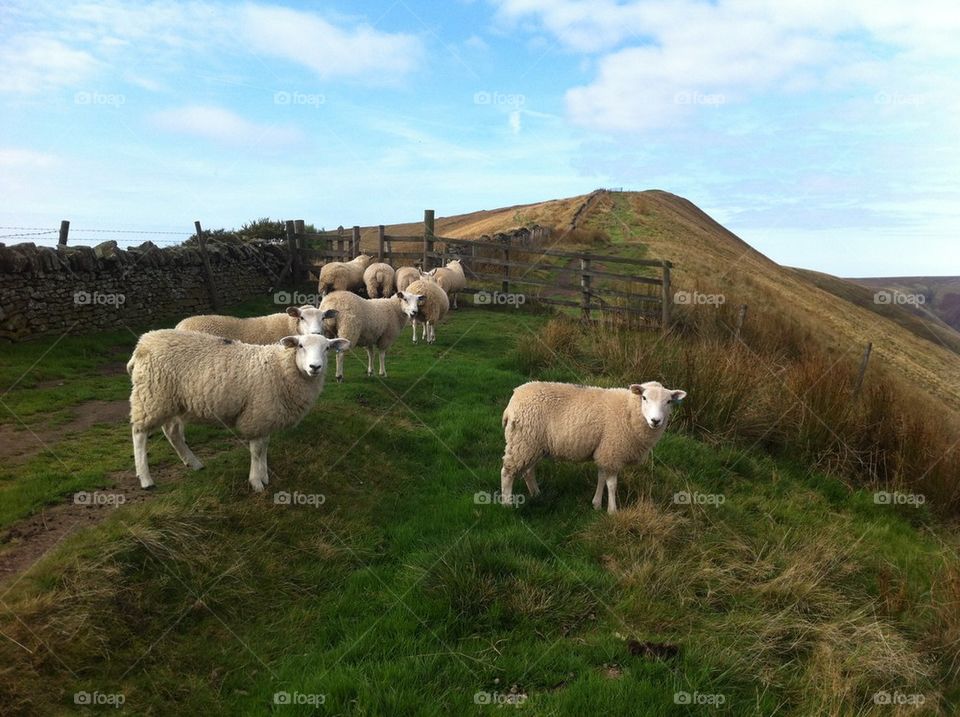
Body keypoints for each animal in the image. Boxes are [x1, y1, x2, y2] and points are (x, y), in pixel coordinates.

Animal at [128, 330, 349, 491]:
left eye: (327, 348)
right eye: (301, 346)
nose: (315, 367)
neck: (280, 367)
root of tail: (142, 343)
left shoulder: (266, 416)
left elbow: (265, 446)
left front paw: (264, 475)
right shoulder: (257, 414)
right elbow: (257, 450)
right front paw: (257, 482)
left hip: (172, 401)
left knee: (172, 432)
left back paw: (194, 463)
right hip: (151, 396)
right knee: (139, 433)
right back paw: (146, 479)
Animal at [499, 381, 687, 513]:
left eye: (669, 401)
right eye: (644, 398)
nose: (656, 421)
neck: (629, 411)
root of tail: (513, 399)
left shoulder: (604, 450)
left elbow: (601, 477)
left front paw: (596, 504)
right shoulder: (612, 450)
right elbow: (612, 484)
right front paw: (612, 511)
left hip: (533, 444)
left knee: (528, 471)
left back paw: (536, 494)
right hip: (523, 441)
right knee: (507, 472)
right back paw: (507, 504)